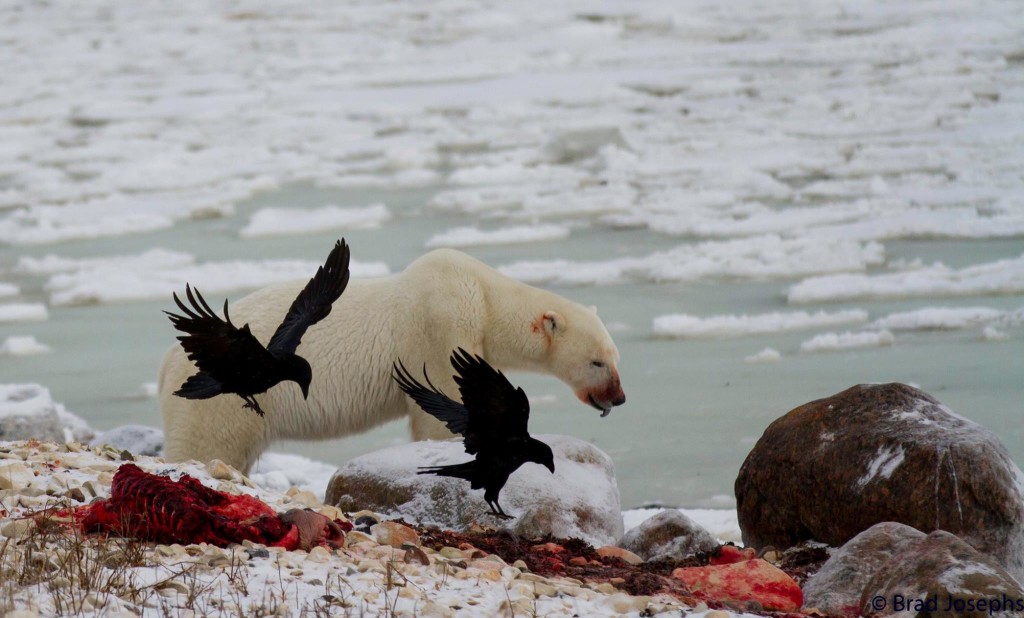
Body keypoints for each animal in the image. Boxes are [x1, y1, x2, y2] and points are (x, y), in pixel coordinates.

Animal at [158, 248, 622, 470]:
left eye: (614, 356)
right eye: (598, 362)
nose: (617, 398)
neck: (483, 296)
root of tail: (166, 366)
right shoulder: (439, 327)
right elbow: (439, 407)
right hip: (219, 406)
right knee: (207, 445)